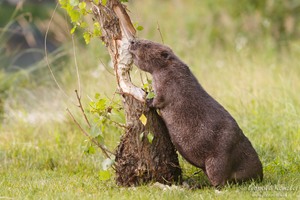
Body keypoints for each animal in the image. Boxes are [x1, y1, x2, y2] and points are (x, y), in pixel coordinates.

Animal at [128, 39, 262, 188]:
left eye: (147, 44)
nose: (132, 41)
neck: (169, 67)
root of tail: (259, 174)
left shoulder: (167, 82)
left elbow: (159, 100)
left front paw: (147, 98)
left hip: (218, 159)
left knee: (220, 182)